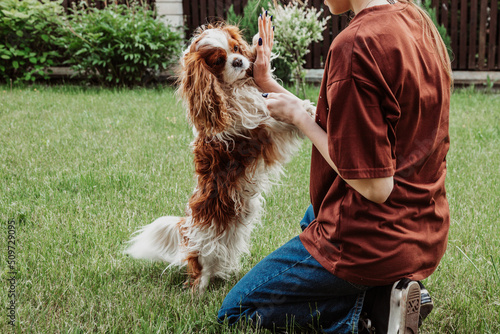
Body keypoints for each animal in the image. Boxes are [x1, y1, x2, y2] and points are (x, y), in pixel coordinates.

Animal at [123, 22, 314, 292]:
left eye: (236, 49)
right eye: (218, 61)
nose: (238, 61)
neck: (232, 90)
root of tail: (188, 227)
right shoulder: (258, 135)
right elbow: (275, 121)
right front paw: (305, 110)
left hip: (228, 242)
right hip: (204, 246)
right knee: (198, 269)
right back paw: (197, 292)